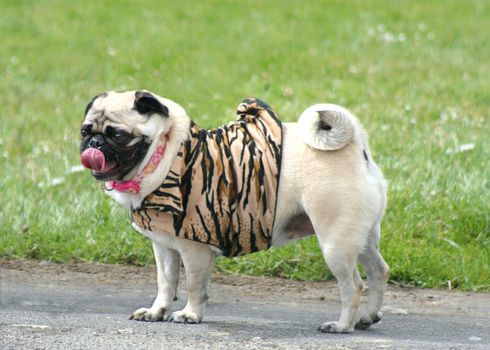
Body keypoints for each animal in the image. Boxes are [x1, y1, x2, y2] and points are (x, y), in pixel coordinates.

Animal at [78, 89, 388, 332]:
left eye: (118, 135)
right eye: (84, 130)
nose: (94, 143)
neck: (167, 154)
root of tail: (357, 147)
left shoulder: (194, 246)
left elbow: (193, 285)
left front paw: (190, 314)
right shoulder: (164, 247)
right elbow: (166, 282)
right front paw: (157, 311)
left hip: (335, 241)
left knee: (353, 285)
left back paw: (343, 325)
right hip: (361, 237)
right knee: (378, 271)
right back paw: (368, 316)